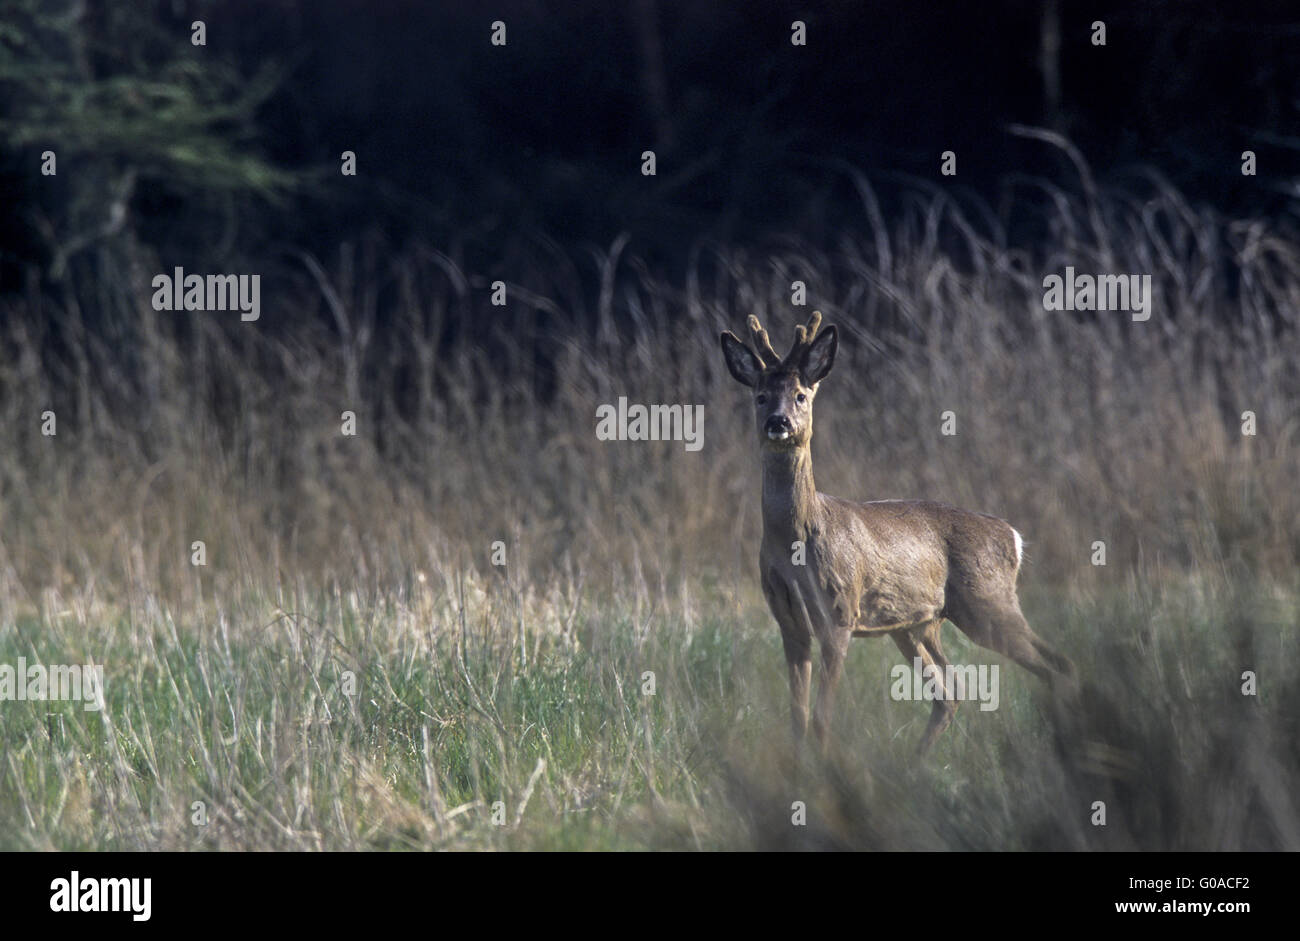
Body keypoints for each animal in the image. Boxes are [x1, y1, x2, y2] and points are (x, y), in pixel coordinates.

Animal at [720, 311, 1077, 754]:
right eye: (761, 395)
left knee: (1056, 664)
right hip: (917, 623)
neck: (796, 543)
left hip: (988, 600)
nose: (778, 421)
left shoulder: (840, 611)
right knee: (951, 690)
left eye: (801, 395)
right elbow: (798, 719)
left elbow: (821, 719)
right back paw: (915, 762)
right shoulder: (789, 622)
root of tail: (1013, 535)